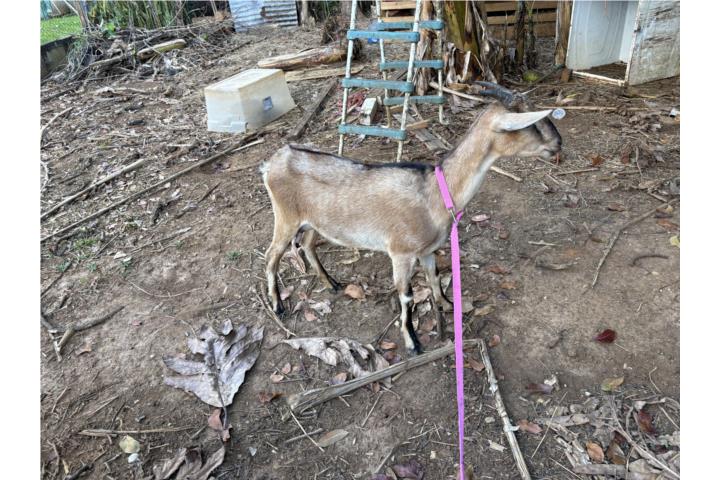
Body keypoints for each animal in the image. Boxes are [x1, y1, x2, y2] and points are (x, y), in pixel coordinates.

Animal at [261, 82, 562, 354]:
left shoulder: (427, 250)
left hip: (314, 221)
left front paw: (448, 306)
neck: (436, 192)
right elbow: (406, 296)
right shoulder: (401, 252)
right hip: (285, 216)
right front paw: (413, 342)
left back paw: (332, 284)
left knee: (307, 245)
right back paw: (278, 304)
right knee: (272, 254)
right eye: (533, 124)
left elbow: (434, 277)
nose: (559, 143)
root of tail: (272, 162)